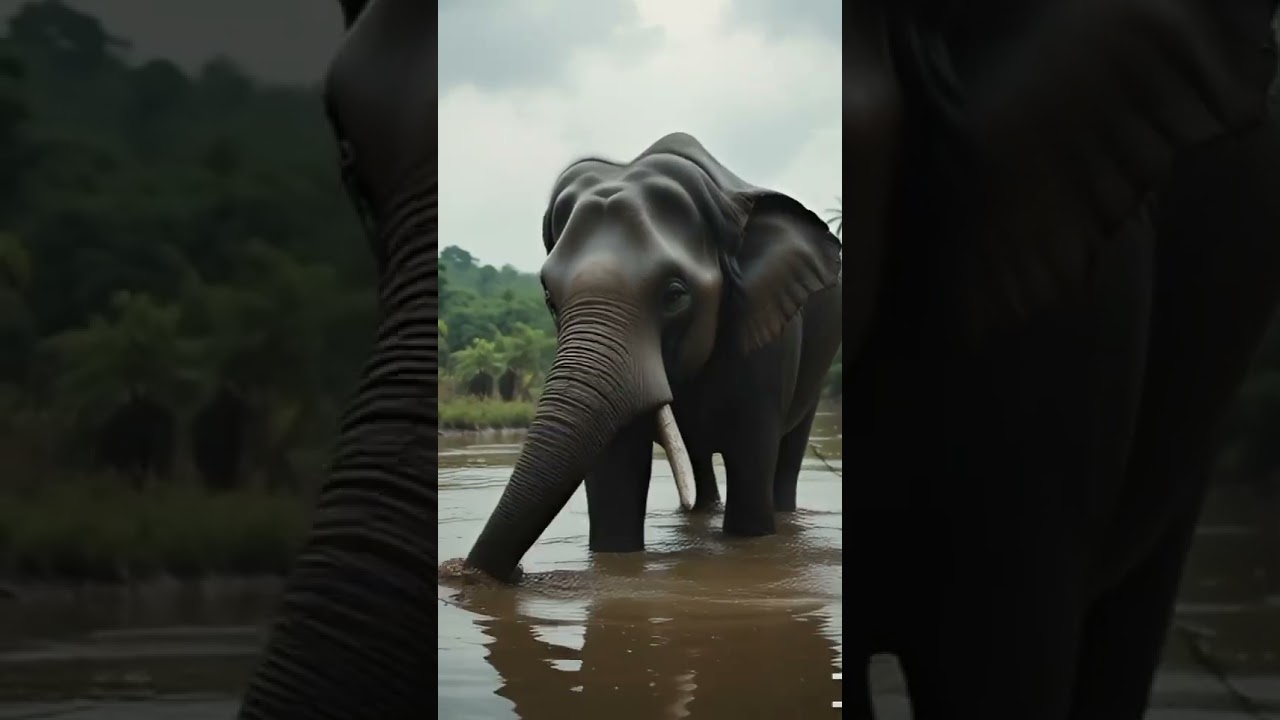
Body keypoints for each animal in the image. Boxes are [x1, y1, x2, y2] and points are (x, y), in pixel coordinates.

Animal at [460, 131, 842, 577]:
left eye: (675, 294)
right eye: (550, 298)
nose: (465, 573)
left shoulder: (768, 336)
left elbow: (751, 463)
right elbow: (616, 475)